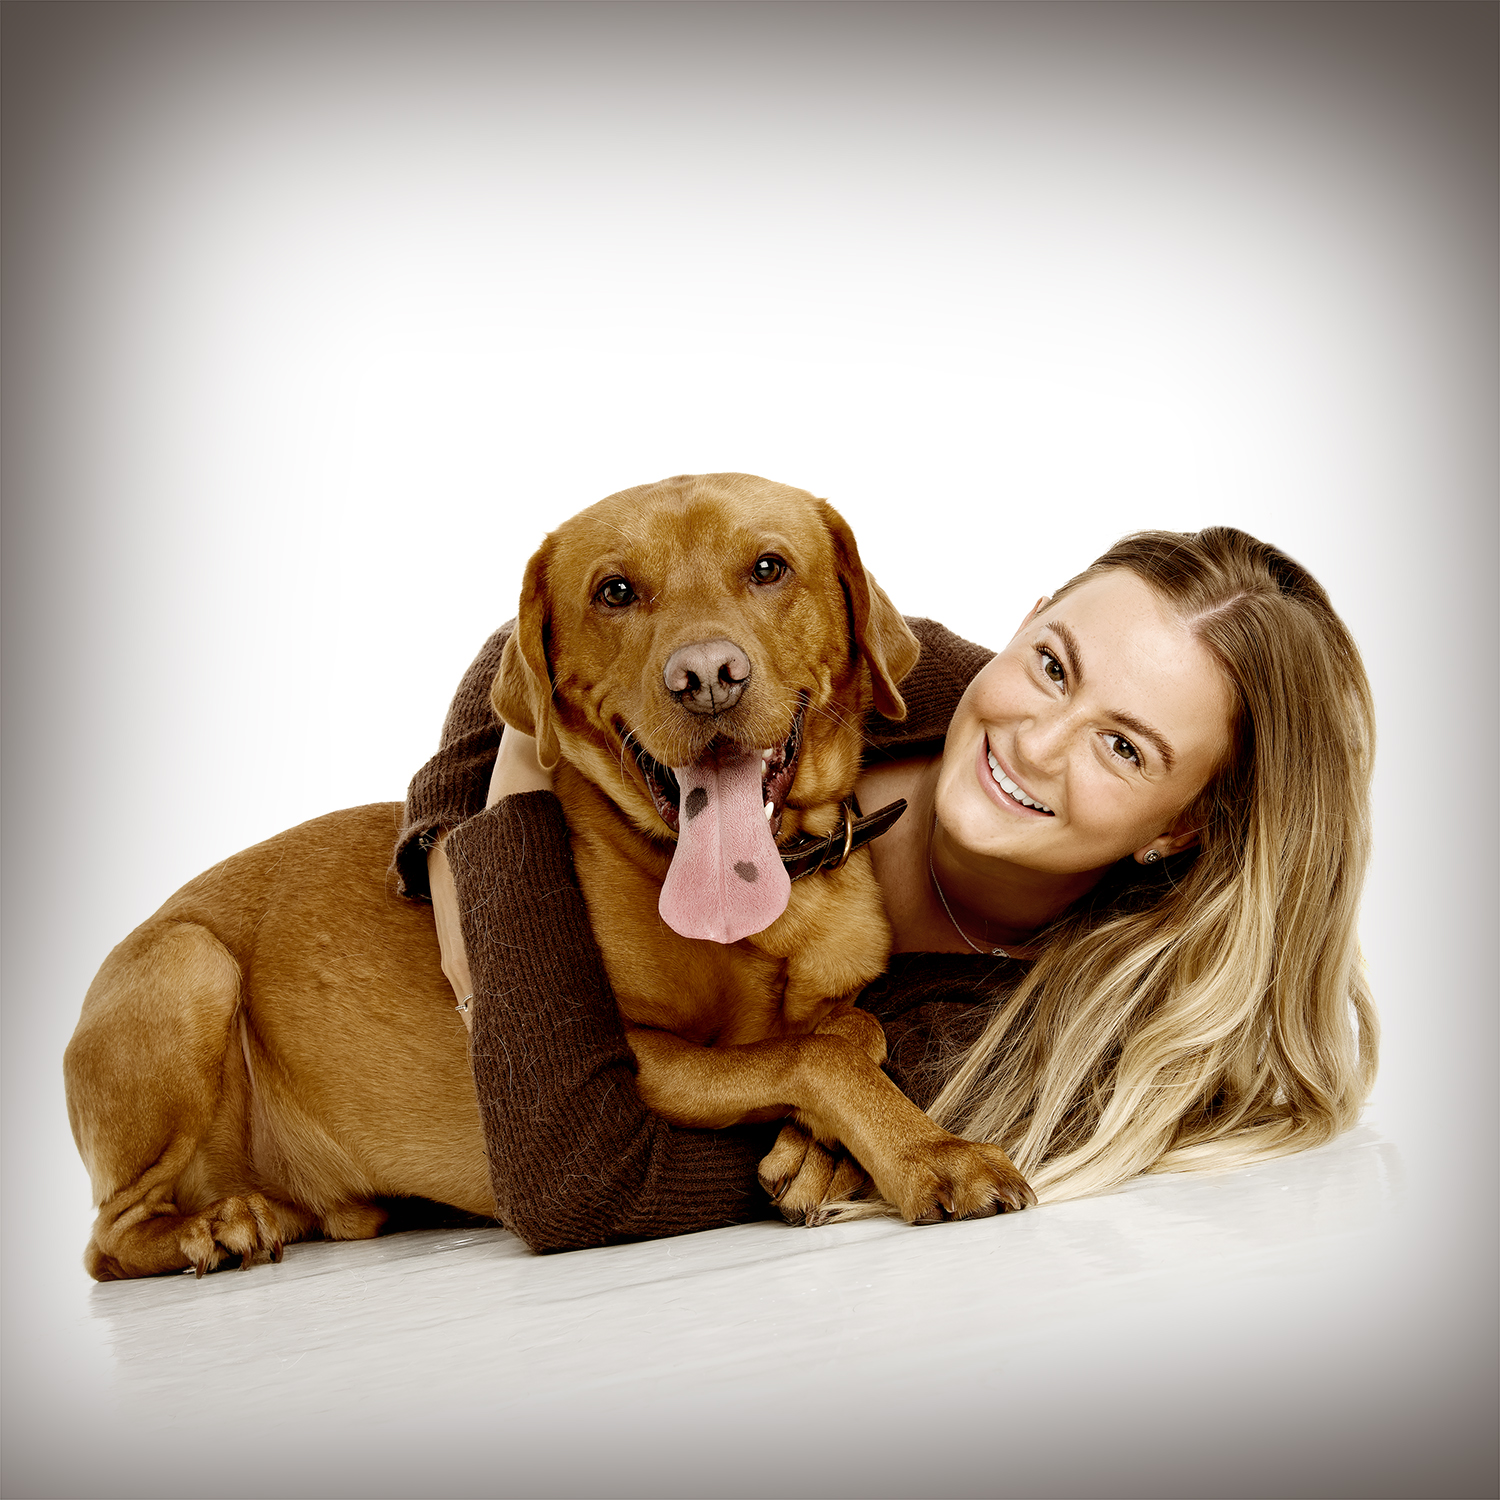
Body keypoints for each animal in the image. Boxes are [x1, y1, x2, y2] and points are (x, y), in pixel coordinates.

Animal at [65, 474, 1032, 1280]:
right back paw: (212, 1227)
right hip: (189, 968)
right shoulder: (632, 1061)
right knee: (109, 1239)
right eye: (616, 592)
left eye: (768, 568)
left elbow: (851, 1032)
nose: (706, 679)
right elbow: (812, 1055)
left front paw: (817, 1149)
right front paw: (929, 1156)